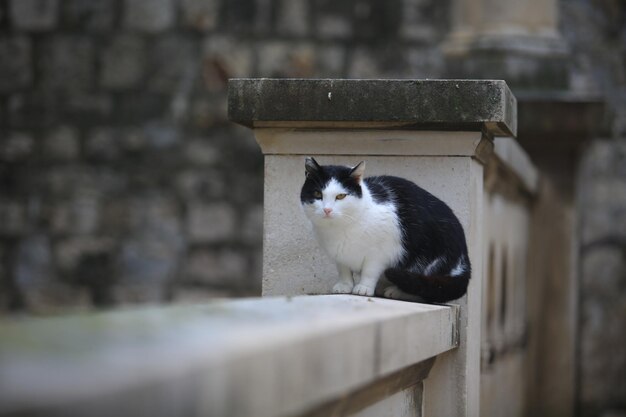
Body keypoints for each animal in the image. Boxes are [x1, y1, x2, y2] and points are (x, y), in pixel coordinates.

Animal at [298, 156, 468, 302]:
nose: (327, 210)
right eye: (317, 193)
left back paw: (397, 291)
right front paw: (345, 285)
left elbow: (370, 270)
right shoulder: (339, 254)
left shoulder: (380, 252)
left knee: (426, 290)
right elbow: (344, 270)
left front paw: (364, 287)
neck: (341, 228)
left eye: (340, 196)